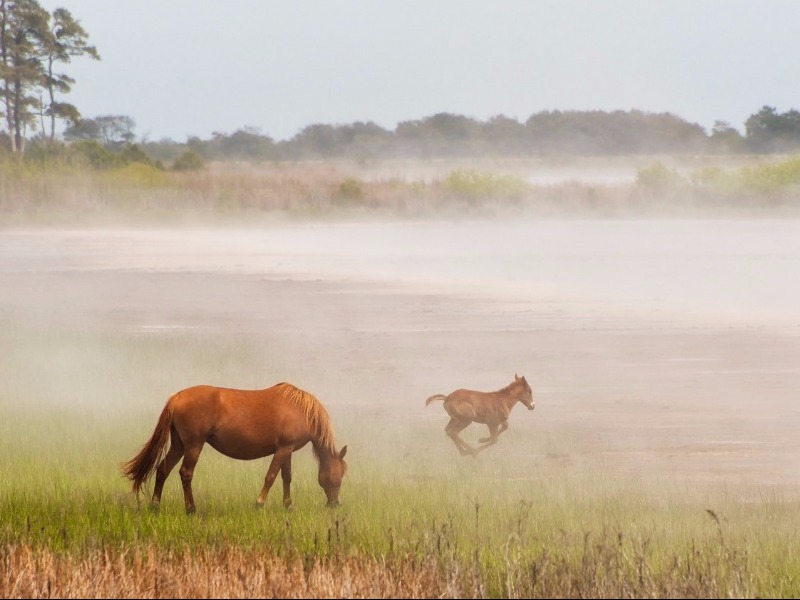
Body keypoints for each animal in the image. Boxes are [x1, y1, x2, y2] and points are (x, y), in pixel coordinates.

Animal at [122, 382, 346, 512]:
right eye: (340, 474)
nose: (335, 504)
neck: (301, 410)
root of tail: (176, 397)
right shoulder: (282, 450)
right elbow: (271, 476)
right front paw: (259, 503)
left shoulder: (287, 450)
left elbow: (286, 477)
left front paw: (288, 505)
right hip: (194, 445)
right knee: (185, 473)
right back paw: (191, 508)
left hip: (179, 445)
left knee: (163, 469)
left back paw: (155, 505)